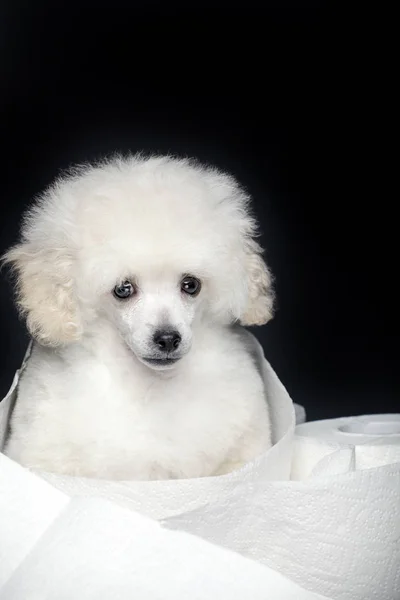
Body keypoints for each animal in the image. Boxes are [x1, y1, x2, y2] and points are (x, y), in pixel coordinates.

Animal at [1, 156, 276, 482]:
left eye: (191, 285)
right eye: (123, 289)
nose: (168, 339)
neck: (151, 386)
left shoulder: (243, 451)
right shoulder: (41, 456)